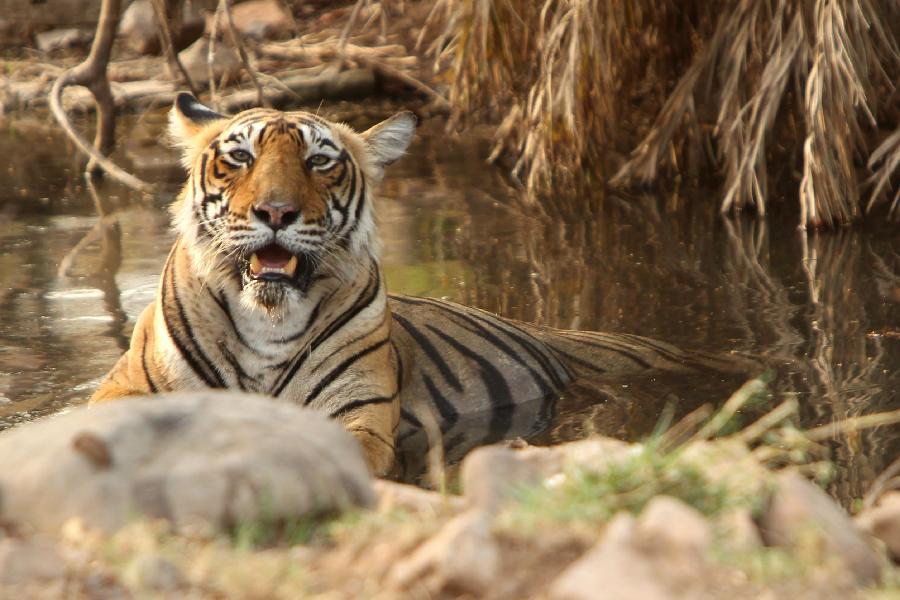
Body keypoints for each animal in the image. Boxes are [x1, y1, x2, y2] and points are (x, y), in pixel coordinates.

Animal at [91, 95, 756, 478]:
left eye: (319, 162)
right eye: (240, 158)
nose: (276, 212)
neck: (266, 322)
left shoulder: (356, 417)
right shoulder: (125, 392)